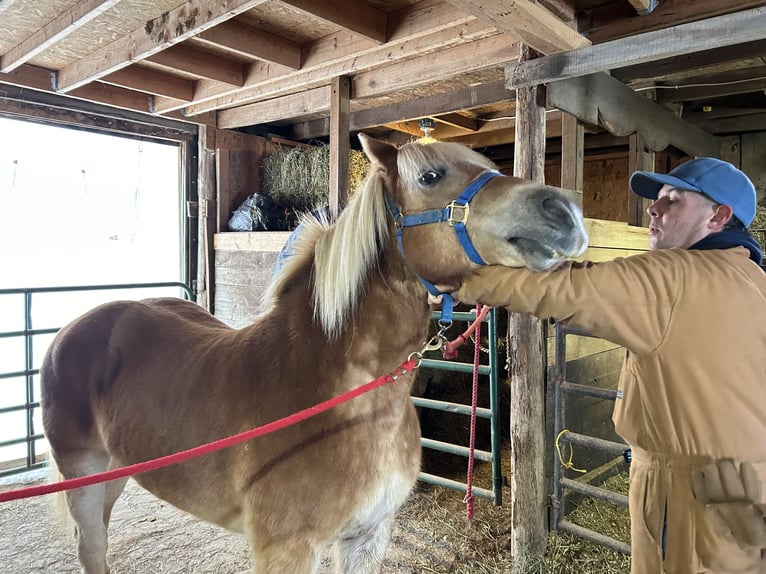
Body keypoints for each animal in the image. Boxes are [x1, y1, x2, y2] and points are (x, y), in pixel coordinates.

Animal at [40, 133, 588, 572]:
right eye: (430, 175)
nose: (564, 211)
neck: (345, 397)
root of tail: (75, 327)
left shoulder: (368, 537)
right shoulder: (286, 549)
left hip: (115, 474)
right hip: (82, 478)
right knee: (92, 549)